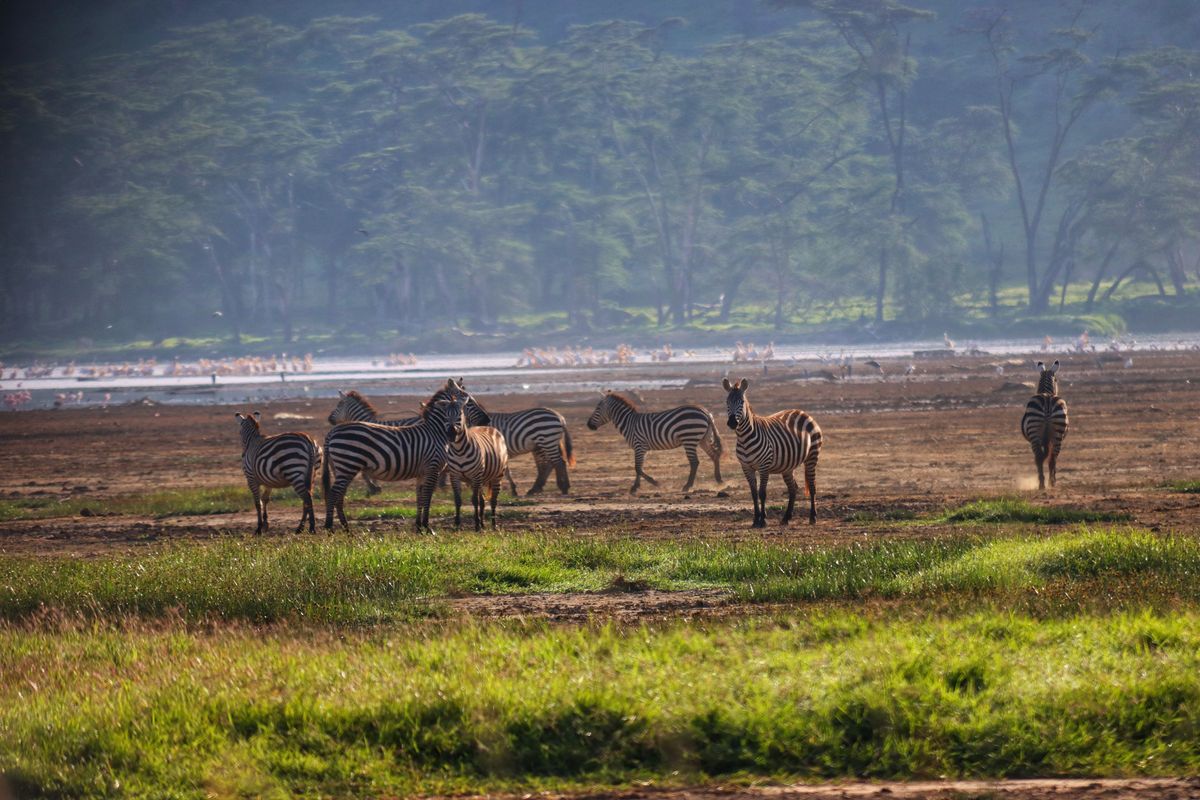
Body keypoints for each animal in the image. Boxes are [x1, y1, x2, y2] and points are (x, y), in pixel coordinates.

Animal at [322, 393, 473, 532]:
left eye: (460, 414)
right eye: (446, 416)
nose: (452, 434)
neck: (435, 433)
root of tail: (332, 431)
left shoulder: (422, 472)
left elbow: (420, 496)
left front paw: (419, 527)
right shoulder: (432, 468)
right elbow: (427, 496)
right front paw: (427, 527)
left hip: (344, 468)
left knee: (340, 494)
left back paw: (346, 528)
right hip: (347, 464)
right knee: (333, 493)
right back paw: (329, 528)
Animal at [585, 390, 723, 494]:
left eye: (597, 408)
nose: (589, 425)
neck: (629, 423)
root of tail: (704, 412)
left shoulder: (639, 445)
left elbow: (637, 468)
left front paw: (656, 483)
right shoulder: (641, 448)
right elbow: (639, 467)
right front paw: (635, 487)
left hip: (689, 438)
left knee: (694, 462)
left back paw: (687, 486)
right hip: (703, 439)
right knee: (714, 455)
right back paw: (719, 480)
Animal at [722, 377, 821, 527]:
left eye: (742, 402)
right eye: (727, 402)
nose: (732, 422)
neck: (744, 438)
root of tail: (802, 412)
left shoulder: (764, 466)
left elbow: (762, 493)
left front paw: (763, 520)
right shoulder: (746, 467)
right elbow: (754, 494)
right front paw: (755, 519)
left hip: (811, 457)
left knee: (812, 485)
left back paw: (813, 517)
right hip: (788, 466)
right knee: (793, 488)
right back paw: (786, 518)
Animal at [1021, 360, 1069, 490]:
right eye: (1056, 380)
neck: (1046, 392)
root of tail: (1047, 399)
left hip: (1035, 434)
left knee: (1040, 457)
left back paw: (1043, 483)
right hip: (1057, 434)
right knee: (1052, 458)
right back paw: (1050, 483)